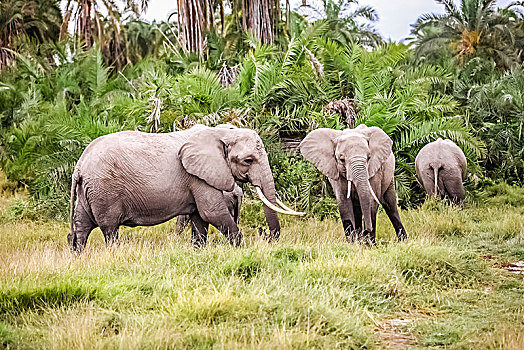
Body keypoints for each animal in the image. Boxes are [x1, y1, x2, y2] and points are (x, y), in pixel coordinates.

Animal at [68, 124, 302, 253]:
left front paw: (198, 252)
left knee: (81, 228)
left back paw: (78, 256)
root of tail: (79, 166)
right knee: (109, 229)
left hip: (88, 191)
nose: (265, 235)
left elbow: (200, 219)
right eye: (248, 160)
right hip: (104, 190)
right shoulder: (198, 176)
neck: (220, 133)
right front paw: (240, 248)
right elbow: (212, 212)